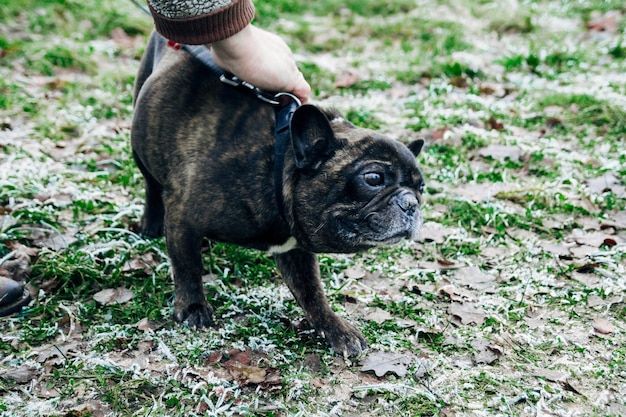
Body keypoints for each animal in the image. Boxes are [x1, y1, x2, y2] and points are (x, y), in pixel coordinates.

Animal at [132, 31, 424, 354]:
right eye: (373, 178)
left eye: (421, 187)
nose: (411, 203)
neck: (276, 166)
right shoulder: (183, 217)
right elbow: (187, 267)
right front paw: (193, 307)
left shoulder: (294, 250)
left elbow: (311, 292)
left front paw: (334, 328)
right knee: (151, 187)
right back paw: (150, 226)